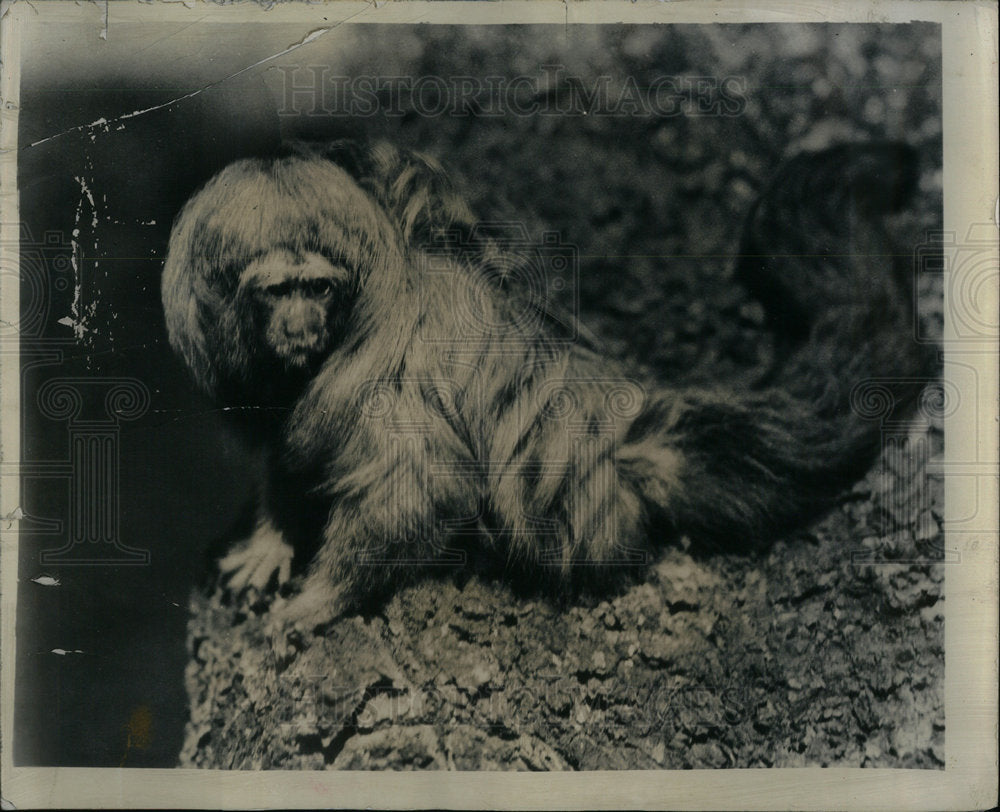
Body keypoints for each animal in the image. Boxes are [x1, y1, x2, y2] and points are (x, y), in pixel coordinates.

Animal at [158, 138, 928, 636]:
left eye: (317, 287)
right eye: (276, 291)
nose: (300, 323)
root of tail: (622, 443)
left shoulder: (375, 375)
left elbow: (423, 483)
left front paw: (320, 598)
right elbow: (286, 446)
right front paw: (272, 538)